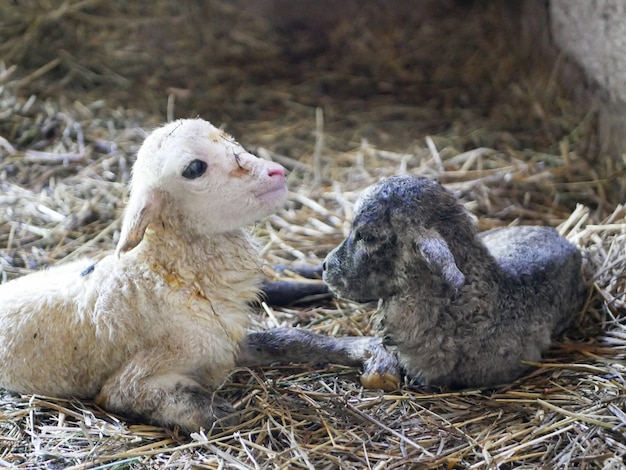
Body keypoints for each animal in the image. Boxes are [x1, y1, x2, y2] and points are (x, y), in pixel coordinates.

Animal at [0, 118, 286, 434]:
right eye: (195, 168)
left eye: (230, 140)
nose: (277, 172)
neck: (167, 274)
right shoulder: (143, 370)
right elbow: (149, 397)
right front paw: (220, 412)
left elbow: (274, 341)